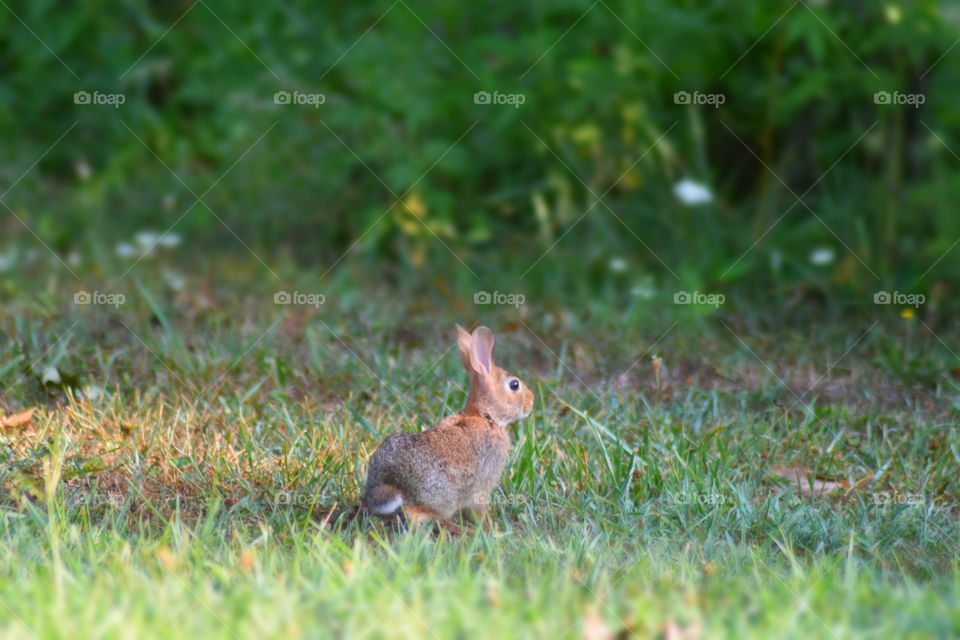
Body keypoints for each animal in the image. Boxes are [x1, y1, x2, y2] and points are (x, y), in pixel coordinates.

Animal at [362, 325, 534, 531]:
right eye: (514, 385)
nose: (532, 402)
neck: (485, 417)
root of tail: (391, 482)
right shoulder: (482, 486)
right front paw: (487, 527)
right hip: (443, 497)